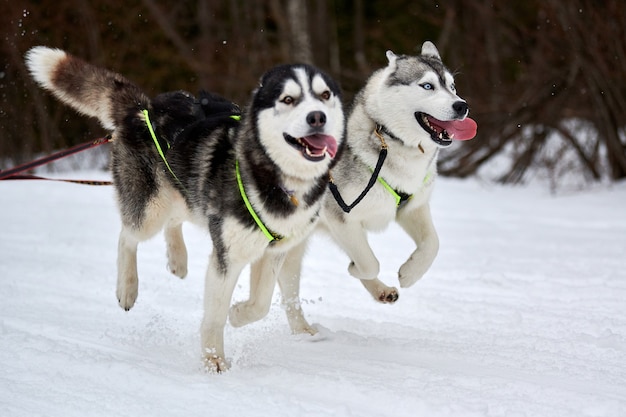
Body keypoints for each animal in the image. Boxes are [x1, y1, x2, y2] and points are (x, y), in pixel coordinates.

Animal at [26, 46, 344, 370]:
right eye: (288, 99)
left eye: (324, 95)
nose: (317, 117)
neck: (277, 180)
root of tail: (144, 109)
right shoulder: (227, 257)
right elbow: (215, 317)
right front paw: (213, 360)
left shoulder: (274, 250)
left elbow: (261, 303)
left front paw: (238, 314)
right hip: (151, 210)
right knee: (127, 236)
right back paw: (127, 287)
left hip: (186, 194)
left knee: (173, 221)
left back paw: (178, 258)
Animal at [227, 39, 476, 332]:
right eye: (427, 86)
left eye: (452, 86)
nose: (462, 106)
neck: (390, 140)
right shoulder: (341, 216)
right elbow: (369, 263)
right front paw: (355, 269)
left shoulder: (412, 208)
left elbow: (432, 245)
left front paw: (409, 273)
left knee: (287, 282)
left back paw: (306, 331)